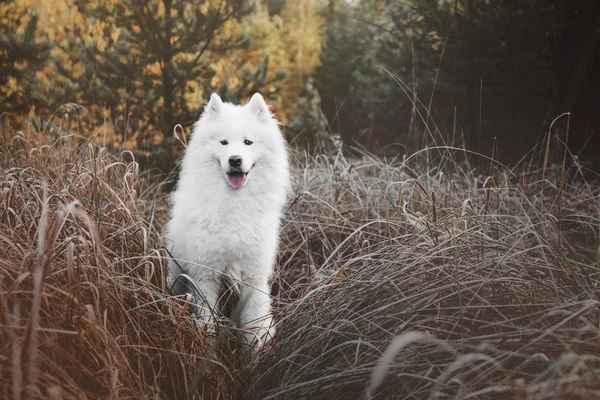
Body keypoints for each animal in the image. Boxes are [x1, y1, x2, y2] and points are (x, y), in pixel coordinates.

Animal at [162, 92, 288, 348]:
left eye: (248, 142)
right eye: (223, 143)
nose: (235, 160)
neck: (234, 205)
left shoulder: (253, 280)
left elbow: (252, 332)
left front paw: (252, 359)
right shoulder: (205, 278)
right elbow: (208, 326)